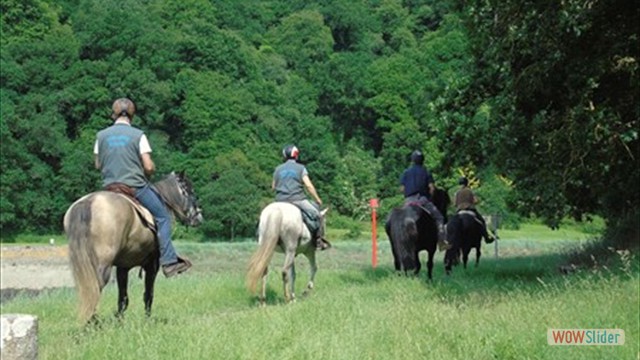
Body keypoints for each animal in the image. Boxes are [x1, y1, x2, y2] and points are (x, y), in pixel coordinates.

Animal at [64, 172, 200, 324]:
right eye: (190, 191)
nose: (199, 216)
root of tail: (88, 202)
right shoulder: (152, 265)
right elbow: (148, 295)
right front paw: (147, 320)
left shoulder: (123, 267)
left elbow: (123, 298)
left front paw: (120, 321)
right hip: (101, 266)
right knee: (94, 290)